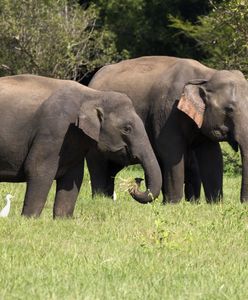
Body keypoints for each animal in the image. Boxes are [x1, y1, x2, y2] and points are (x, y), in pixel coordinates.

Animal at [0, 74, 163, 217]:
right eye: (127, 129)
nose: (136, 182)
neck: (94, 95)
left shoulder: (75, 140)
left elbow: (73, 176)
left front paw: (63, 219)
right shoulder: (53, 131)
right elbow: (38, 169)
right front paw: (29, 219)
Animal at [87, 55, 246, 203]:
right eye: (229, 109)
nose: (243, 202)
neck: (206, 74)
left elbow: (212, 155)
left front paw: (215, 204)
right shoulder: (167, 112)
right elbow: (171, 151)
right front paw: (172, 204)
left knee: (112, 168)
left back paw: (107, 199)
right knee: (98, 163)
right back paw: (100, 199)